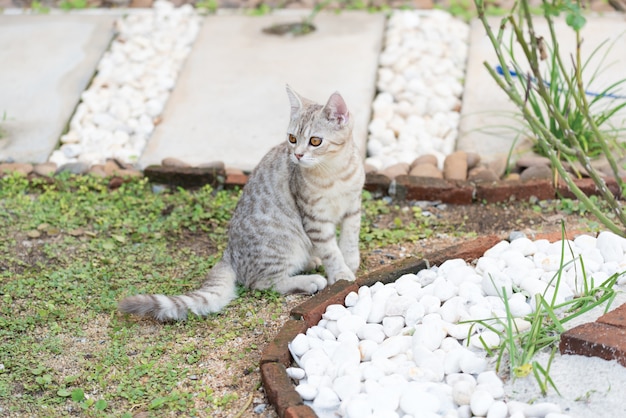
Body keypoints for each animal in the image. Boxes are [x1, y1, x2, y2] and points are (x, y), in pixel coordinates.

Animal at [117, 84, 364, 320]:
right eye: (292, 139)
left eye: (315, 141)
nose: (297, 155)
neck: (335, 172)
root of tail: (229, 253)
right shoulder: (314, 218)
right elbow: (330, 249)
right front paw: (340, 272)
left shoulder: (353, 206)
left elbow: (350, 237)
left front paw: (350, 260)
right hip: (282, 243)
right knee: (262, 282)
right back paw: (309, 279)